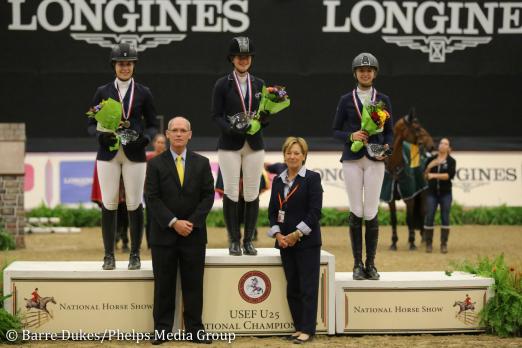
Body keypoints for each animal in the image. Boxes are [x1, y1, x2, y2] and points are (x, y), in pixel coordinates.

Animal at [380, 109, 432, 250]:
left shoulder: (410, 198)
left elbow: (409, 219)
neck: (395, 167)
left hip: (422, 193)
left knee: (423, 212)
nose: (432, 145)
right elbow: (393, 219)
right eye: (417, 127)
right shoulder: (391, 199)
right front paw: (393, 243)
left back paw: (423, 239)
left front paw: (412, 242)